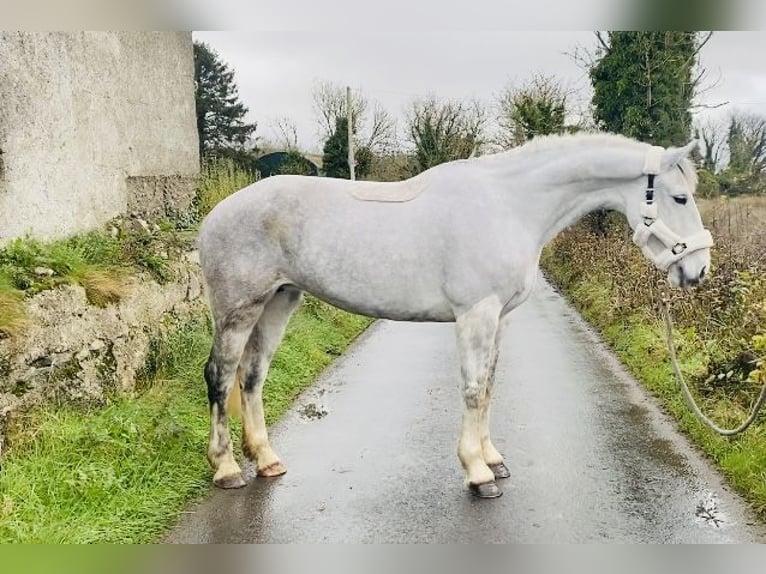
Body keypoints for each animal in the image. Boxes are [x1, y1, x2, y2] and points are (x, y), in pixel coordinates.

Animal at [198, 134, 712, 500]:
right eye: (680, 198)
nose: (698, 270)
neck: (511, 205)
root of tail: (216, 213)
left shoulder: (500, 318)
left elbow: (489, 388)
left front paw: (492, 457)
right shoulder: (476, 315)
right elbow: (472, 389)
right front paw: (479, 473)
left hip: (279, 301)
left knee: (252, 377)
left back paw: (267, 460)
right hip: (238, 310)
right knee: (221, 377)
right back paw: (226, 468)